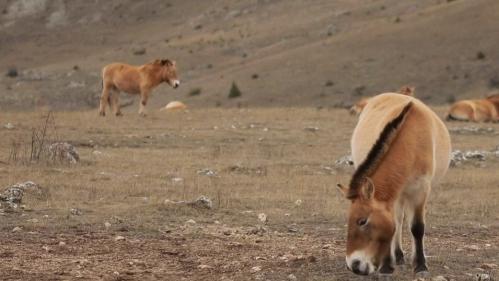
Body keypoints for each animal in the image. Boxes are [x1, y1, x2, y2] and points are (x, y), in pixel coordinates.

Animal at [338, 92, 452, 276]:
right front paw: (386, 266)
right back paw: (397, 256)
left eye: (362, 221)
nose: (354, 265)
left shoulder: (421, 191)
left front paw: (421, 266)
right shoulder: (391, 196)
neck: (412, 141)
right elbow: (393, 226)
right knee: (398, 222)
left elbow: (417, 228)